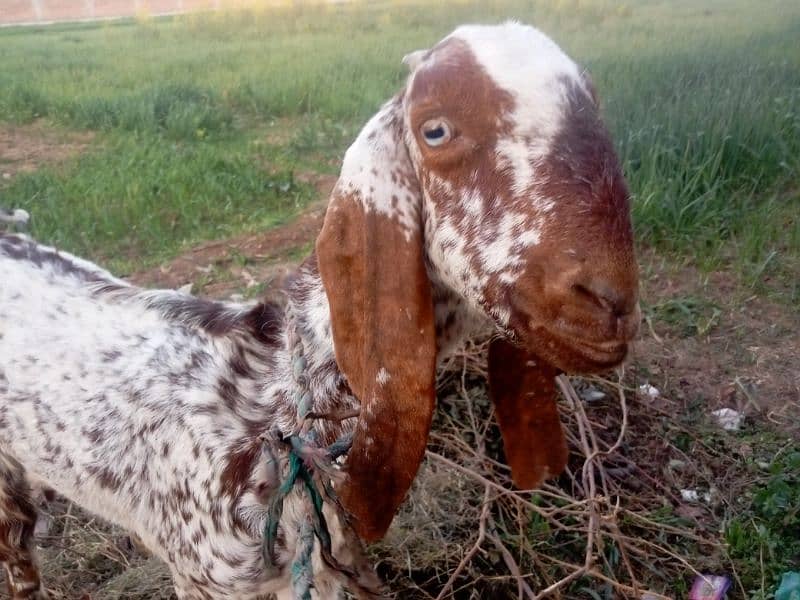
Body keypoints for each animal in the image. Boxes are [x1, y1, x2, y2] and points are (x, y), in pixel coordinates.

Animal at [0, 22, 640, 600]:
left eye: (594, 107)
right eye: (434, 129)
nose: (610, 301)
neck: (272, 414)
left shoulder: (330, 568)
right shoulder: (205, 578)